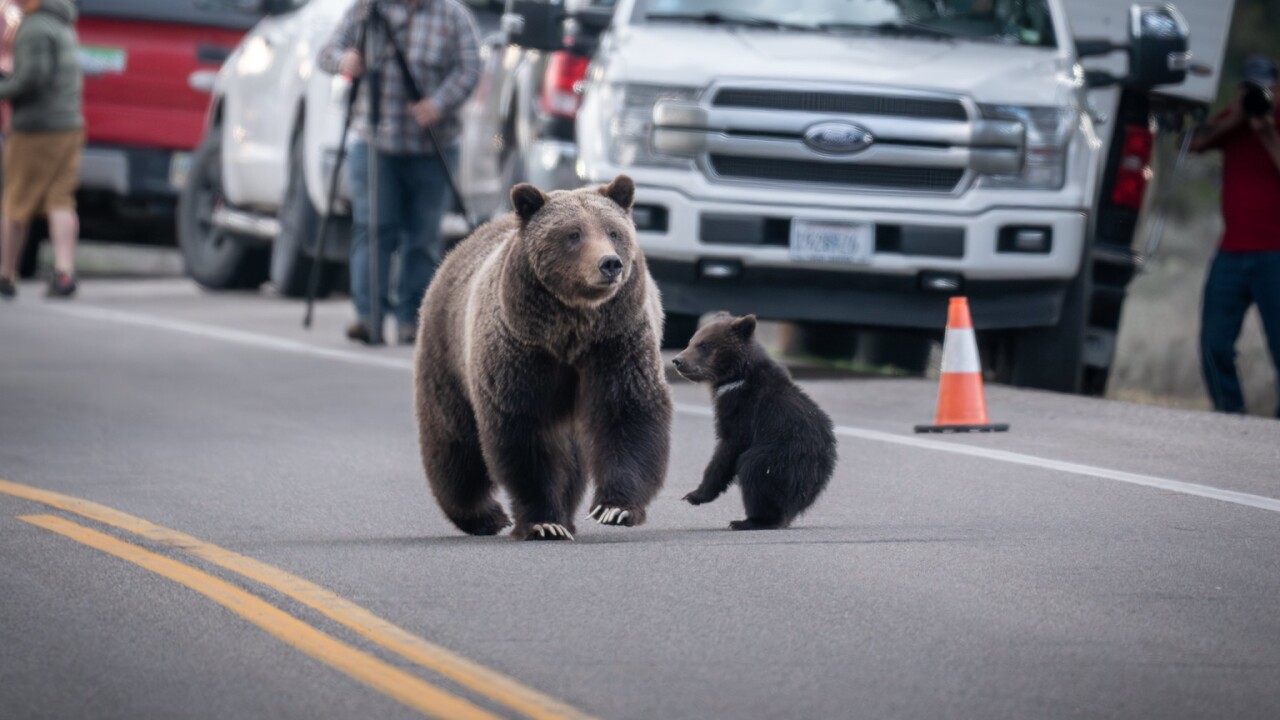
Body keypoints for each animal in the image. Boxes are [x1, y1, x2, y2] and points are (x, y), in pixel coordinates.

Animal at [413, 175, 672, 541]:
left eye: (613, 231)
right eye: (573, 234)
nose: (609, 263)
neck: (570, 330)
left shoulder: (617, 341)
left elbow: (629, 411)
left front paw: (615, 508)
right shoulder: (521, 351)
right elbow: (525, 431)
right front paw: (543, 521)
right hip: (448, 351)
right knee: (456, 443)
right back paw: (483, 515)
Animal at [672, 314, 837, 530]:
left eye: (703, 345)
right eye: (691, 341)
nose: (678, 360)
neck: (736, 376)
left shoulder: (744, 411)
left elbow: (727, 449)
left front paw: (695, 495)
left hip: (780, 456)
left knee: (753, 470)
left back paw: (748, 521)